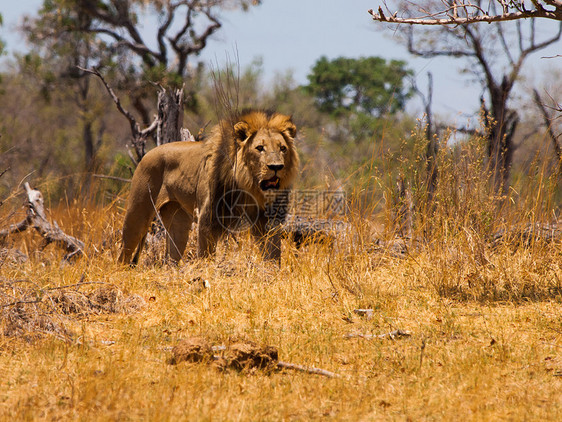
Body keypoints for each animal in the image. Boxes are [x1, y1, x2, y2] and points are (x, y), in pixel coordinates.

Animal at [117, 110, 298, 266]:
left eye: (282, 148)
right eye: (260, 148)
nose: (276, 167)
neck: (249, 185)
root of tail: (147, 153)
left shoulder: (268, 219)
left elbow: (273, 252)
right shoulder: (208, 218)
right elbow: (206, 254)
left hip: (178, 221)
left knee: (171, 256)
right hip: (138, 212)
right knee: (125, 251)